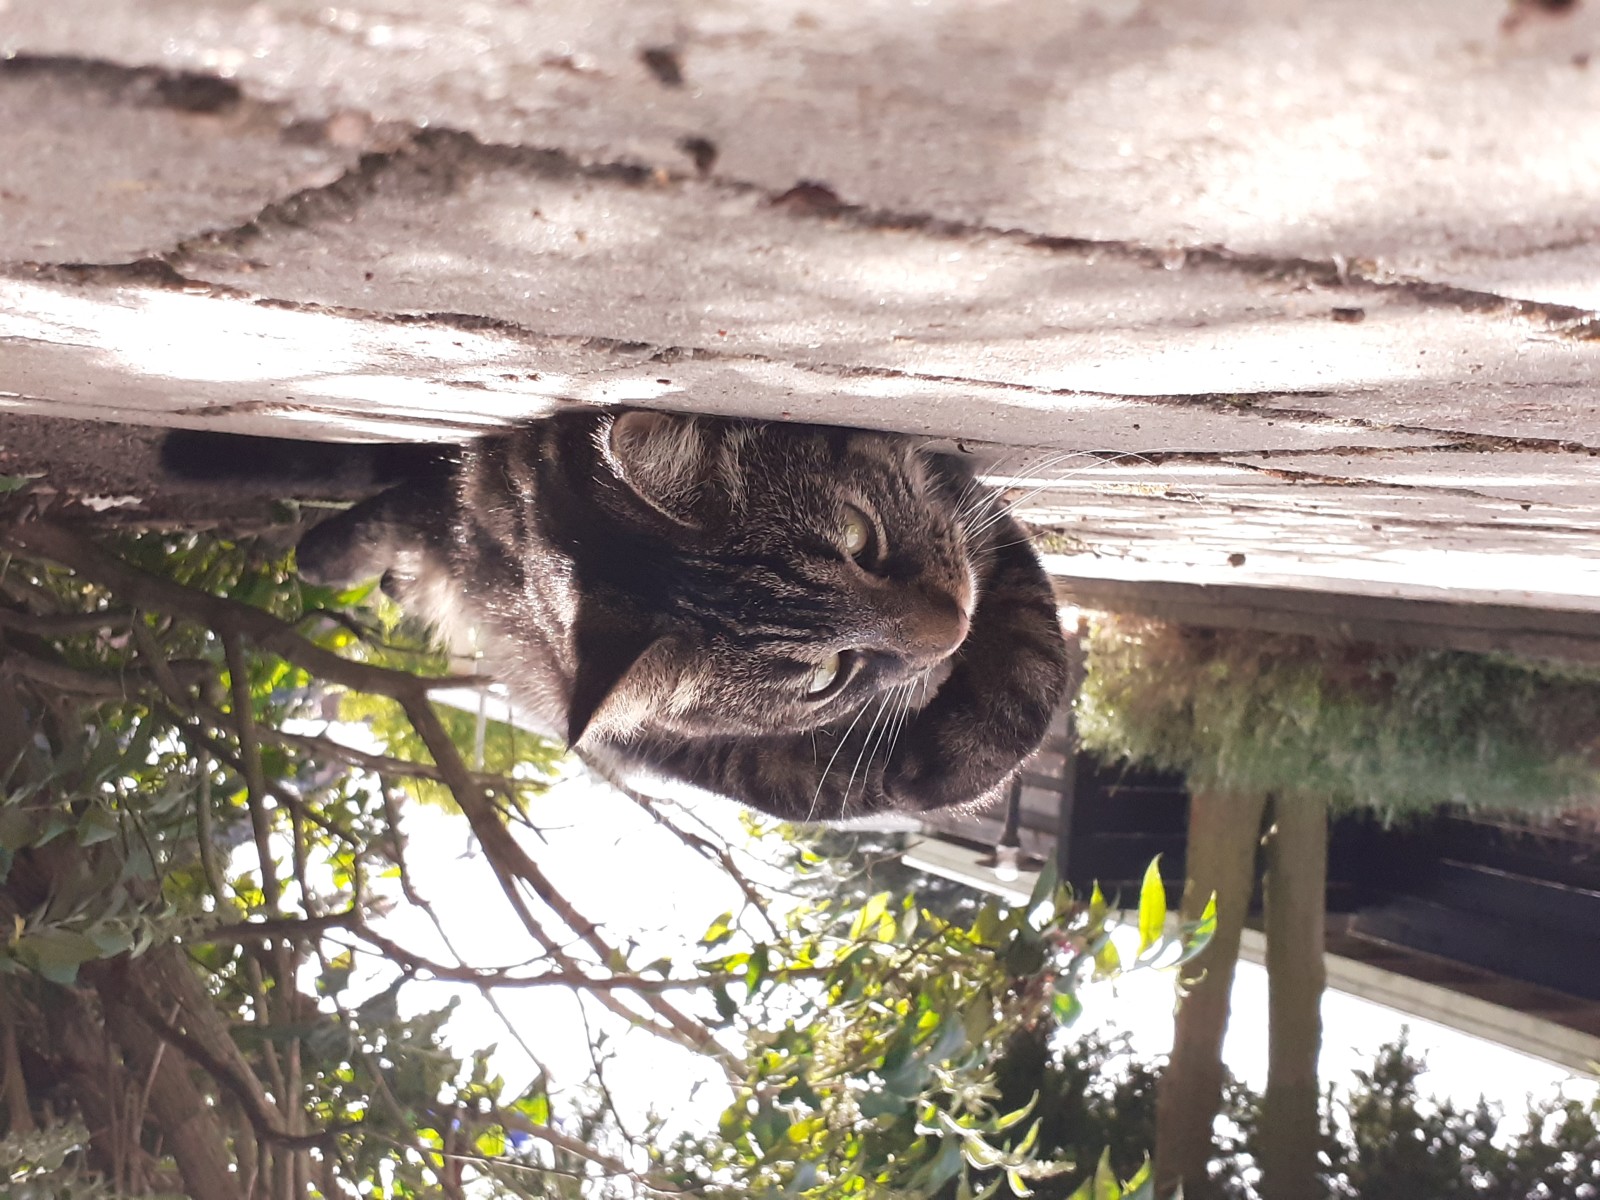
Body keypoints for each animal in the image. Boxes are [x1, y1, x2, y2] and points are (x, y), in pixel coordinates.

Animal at [165, 410, 1070, 820]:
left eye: (859, 537)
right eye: (822, 677)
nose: (950, 636)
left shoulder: (972, 517)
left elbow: (1035, 649)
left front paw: (960, 737)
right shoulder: (712, 755)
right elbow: (842, 784)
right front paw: (938, 763)